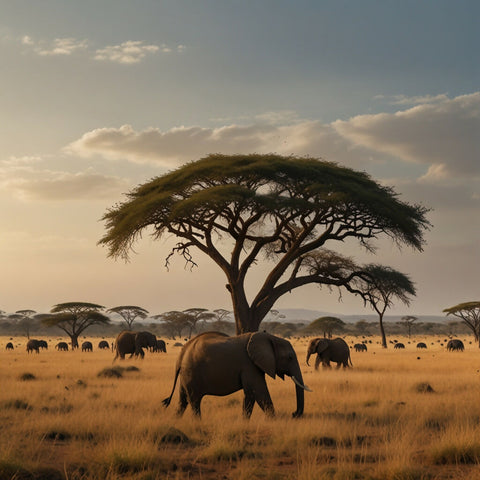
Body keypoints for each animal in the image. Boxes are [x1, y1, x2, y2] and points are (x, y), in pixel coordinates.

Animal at [162, 332, 312, 418]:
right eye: (290, 357)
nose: (294, 414)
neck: (270, 337)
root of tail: (181, 354)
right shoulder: (249, 365)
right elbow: (259, 392)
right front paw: (274, 421)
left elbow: (250, 395)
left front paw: (245, 423)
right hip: (192, 374)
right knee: (194, 402)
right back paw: (198, 424)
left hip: (185, 375)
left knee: (182, 401)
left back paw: (175, 421)